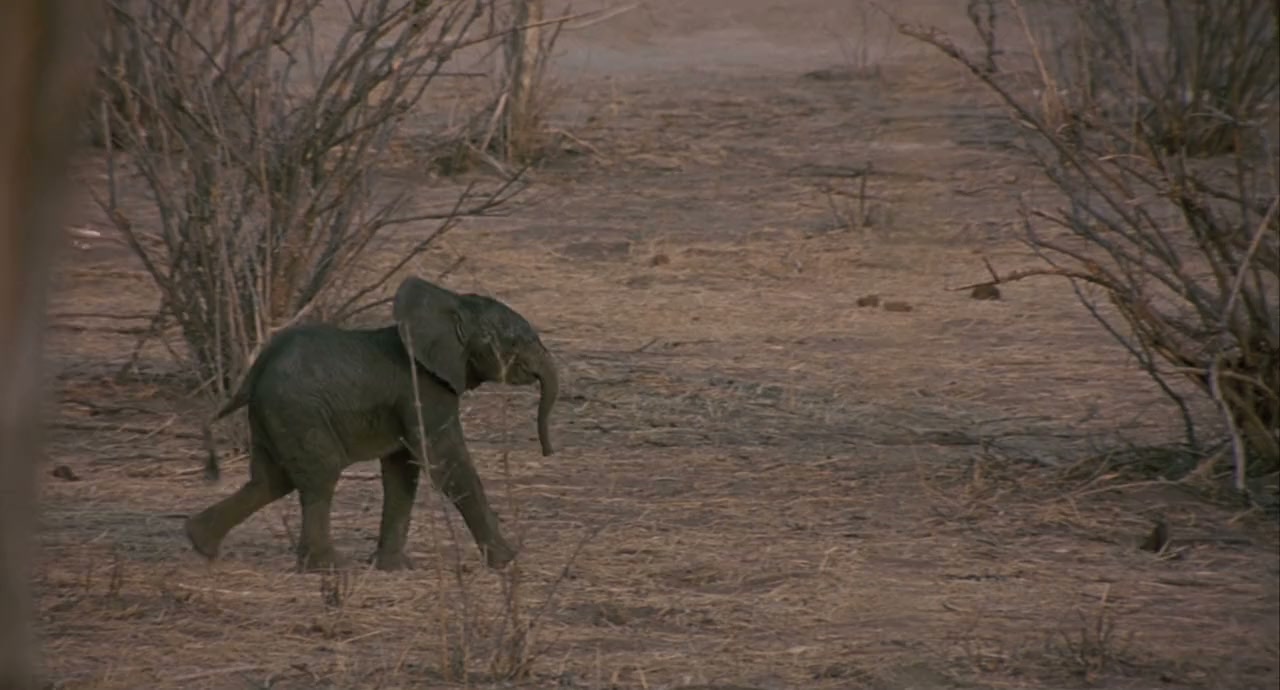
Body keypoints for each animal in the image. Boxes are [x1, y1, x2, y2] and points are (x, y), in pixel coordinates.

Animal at [184, 276, 559, 573]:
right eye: (517, 341)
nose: (547, 452)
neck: (452, 305)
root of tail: (255, 371)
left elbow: (402, 472)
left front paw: (393, 568)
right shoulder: (425, 390)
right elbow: (446, 463)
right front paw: (508, 560)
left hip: (274, 416)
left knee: (271, 481)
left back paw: (200, 543)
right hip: (298, 411)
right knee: (319, 475)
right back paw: (328, 567)